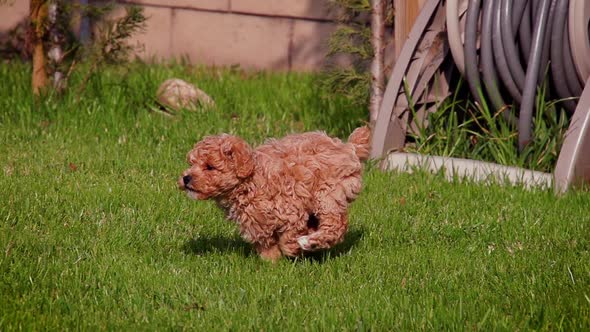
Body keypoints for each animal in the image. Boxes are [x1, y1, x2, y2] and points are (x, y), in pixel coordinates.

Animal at [179, 126, 370, 260]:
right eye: (191, 163)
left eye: (210, 167)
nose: (186, 178)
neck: (251, 180)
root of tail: (349, 147)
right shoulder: (255, 224)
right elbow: (267, 247)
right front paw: (273, 266)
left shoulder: (291, 210)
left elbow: (288, 237)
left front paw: (293, 248)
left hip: (328, 193)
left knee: (336, 225)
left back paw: (310, 241)